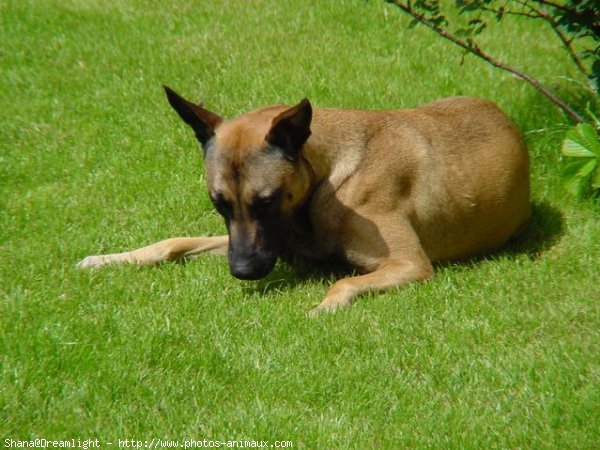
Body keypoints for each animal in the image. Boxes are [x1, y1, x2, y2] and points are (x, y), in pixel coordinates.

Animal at [78, 86, 528, 314]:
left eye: (266, 201)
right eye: (218, 203)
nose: (242, 272)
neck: (328, 173)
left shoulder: (410, 264)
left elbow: (344, 281)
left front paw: (321, 307)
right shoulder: (258, 241)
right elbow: (173, 242)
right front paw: (110, 258)